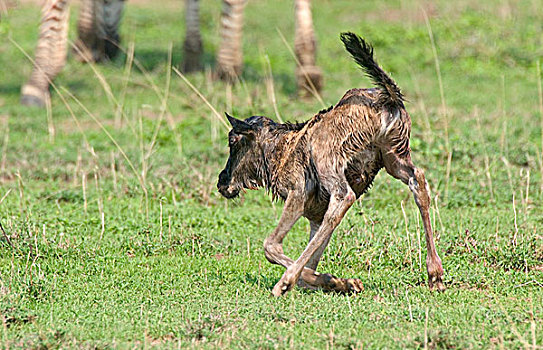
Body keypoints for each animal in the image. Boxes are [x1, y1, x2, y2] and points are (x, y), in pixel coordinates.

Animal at [217, 32, 446, 296]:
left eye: (233, 141)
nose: (222, 183)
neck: (278, 152)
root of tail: (387, 98)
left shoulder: (298, 192)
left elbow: (272, 246)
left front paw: (297, 281)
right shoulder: (315, 215)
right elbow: (312, 260)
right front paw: (339, 282)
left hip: (328, 163)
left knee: (344, 197)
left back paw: (285, 280)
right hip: (394, 156)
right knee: (417, 180)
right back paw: (435, 274)